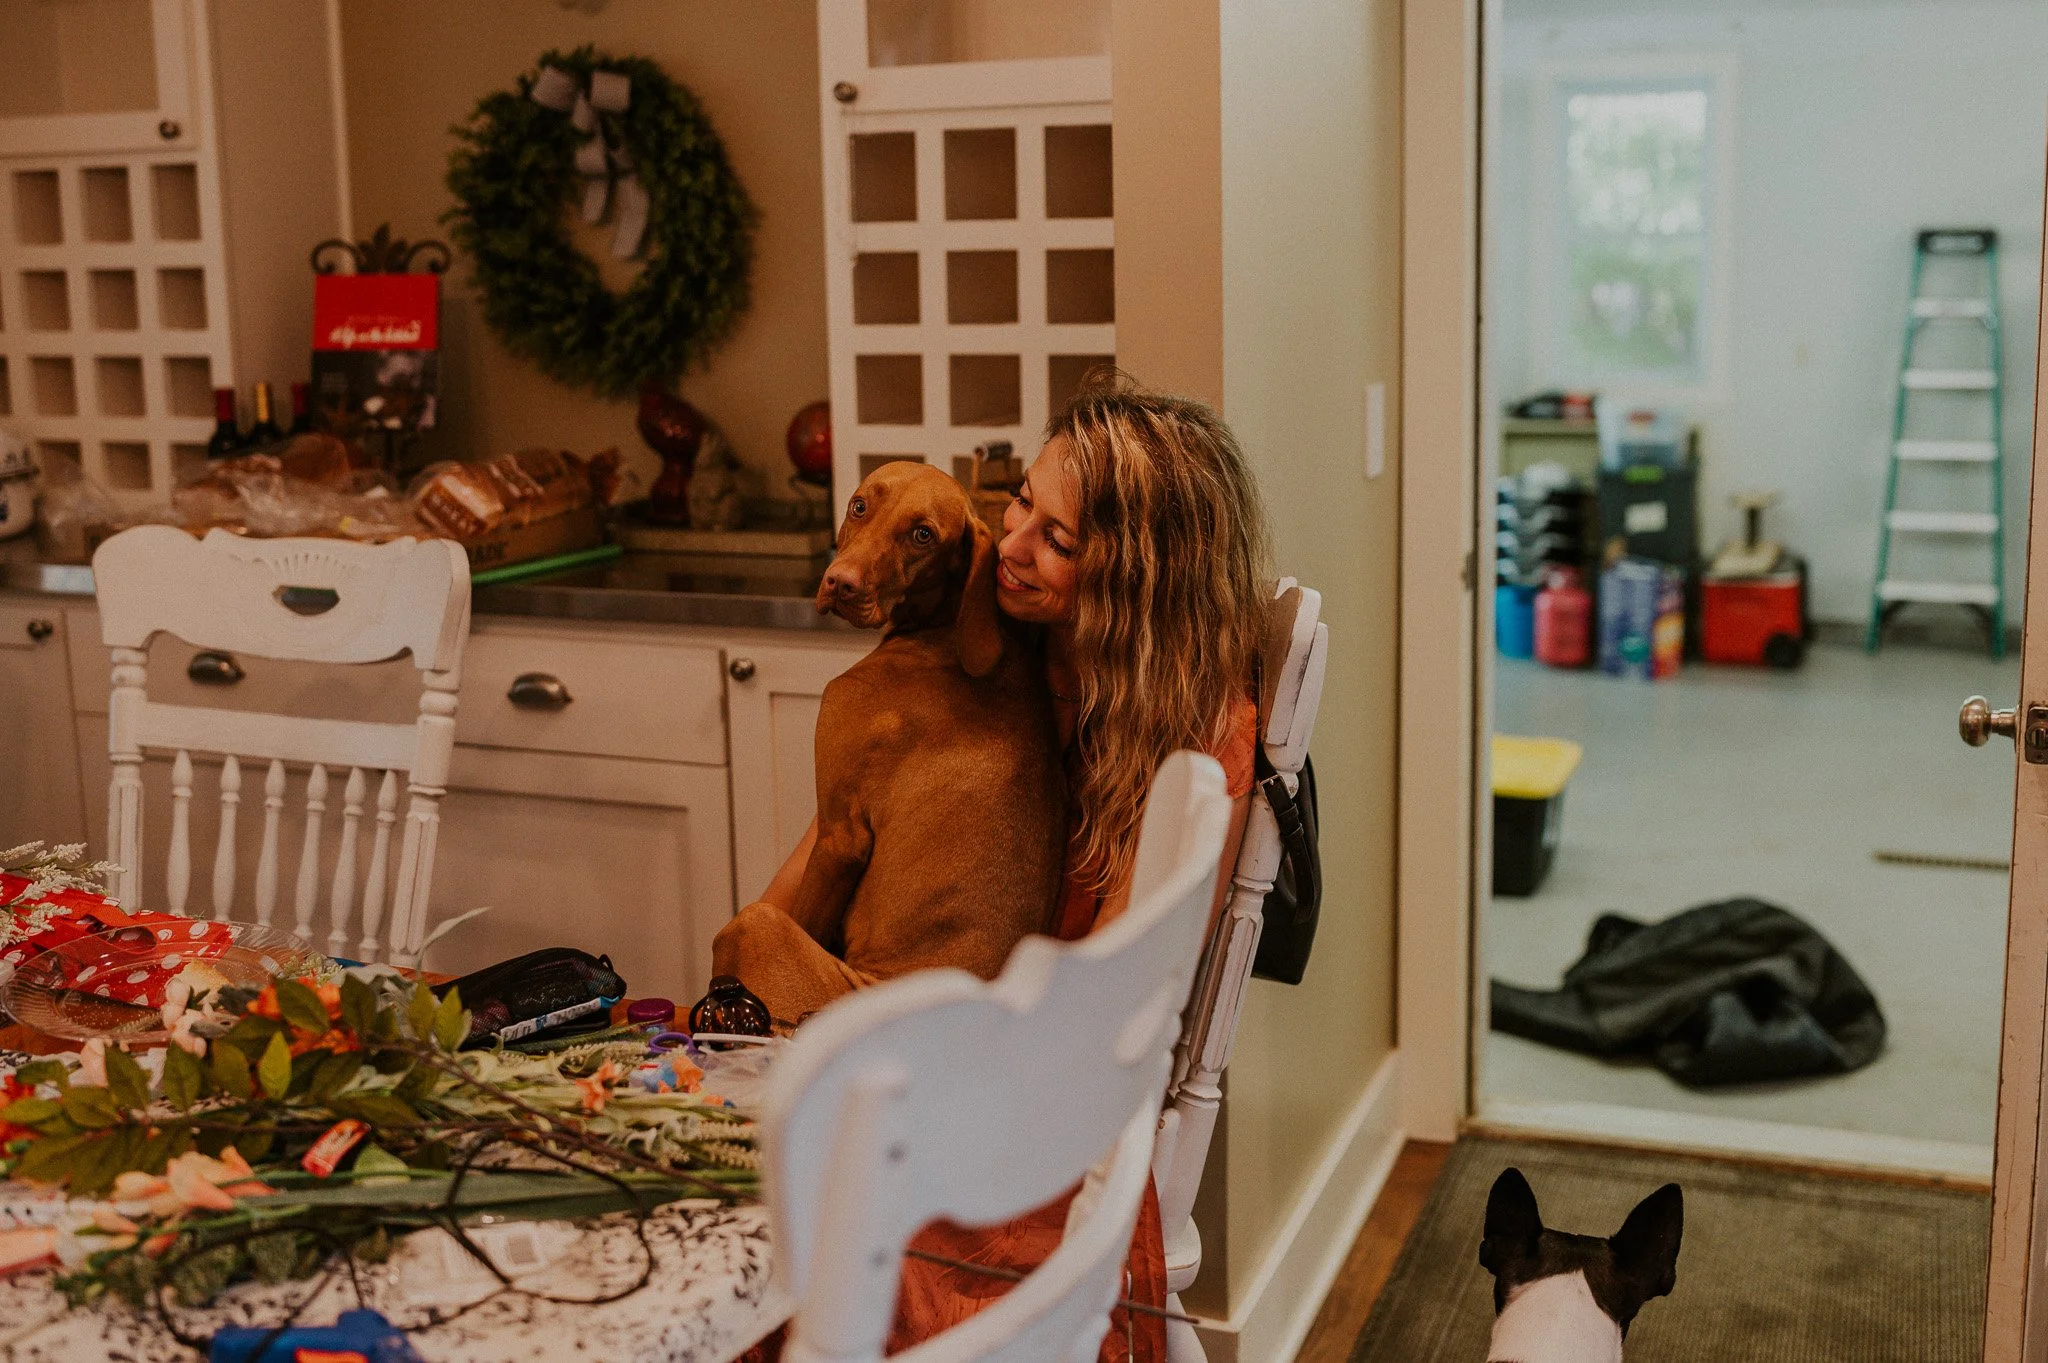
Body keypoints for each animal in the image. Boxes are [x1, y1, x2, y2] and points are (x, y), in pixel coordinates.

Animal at [712, 458, 1064, 1019]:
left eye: (923, 535)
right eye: (859, 505)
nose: (840, 583)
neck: (943, 629)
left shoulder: (838, 835)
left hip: (753, 924)